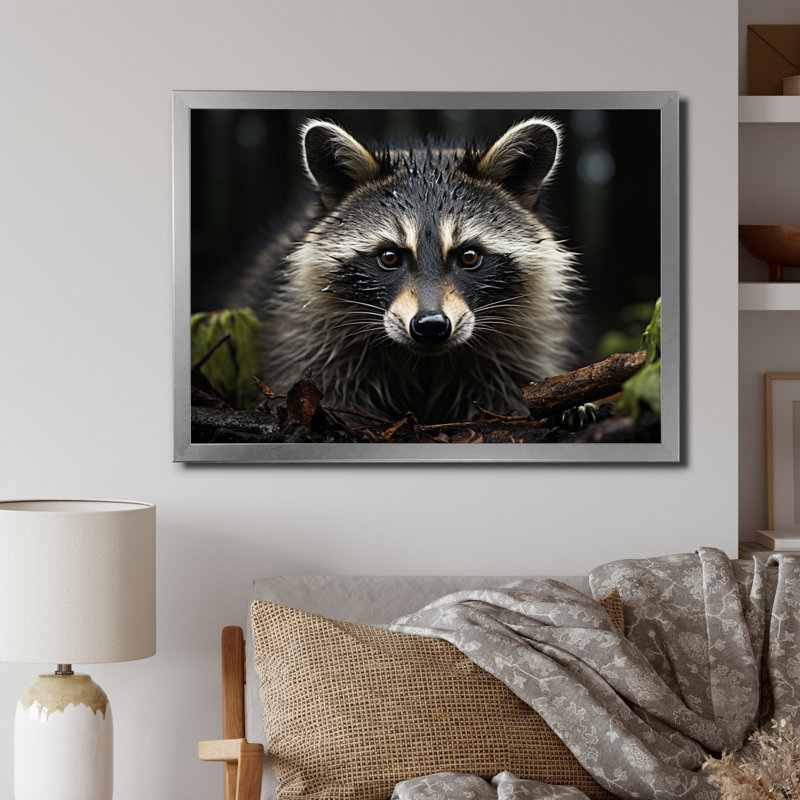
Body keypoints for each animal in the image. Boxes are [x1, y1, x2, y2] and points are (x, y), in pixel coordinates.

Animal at [224, 116, 579, 423]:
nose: (431, 326)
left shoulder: (522, 339)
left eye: (469, 257)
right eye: (390, 257)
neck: (425, 359)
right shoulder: (305, 333)